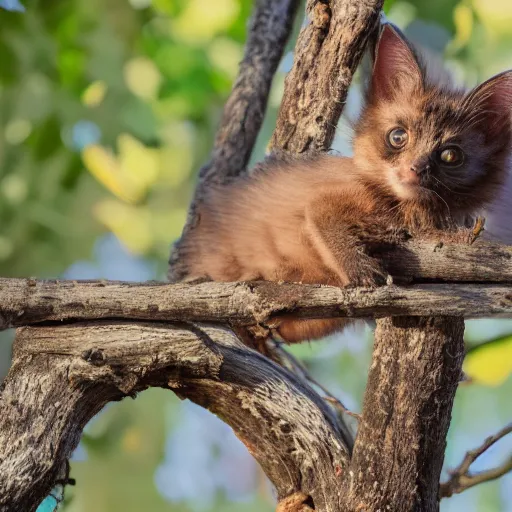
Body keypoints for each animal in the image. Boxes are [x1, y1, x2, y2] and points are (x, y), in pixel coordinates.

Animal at [180, 24, 512, 344]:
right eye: (398, 136)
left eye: (450, 155)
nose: (415, 169)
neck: (404, 206)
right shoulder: (325, 201)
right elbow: (325, 222)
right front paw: (362, 271)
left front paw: (459, 236)